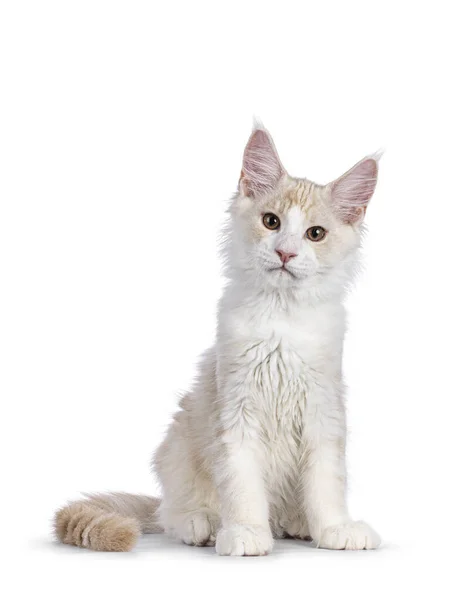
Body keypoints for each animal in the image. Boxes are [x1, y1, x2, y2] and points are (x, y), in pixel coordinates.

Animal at [54, 124, 382, 556]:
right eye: (271, 222)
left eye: (316, 234)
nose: (285, 253)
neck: (280, 319)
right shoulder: (236, 410)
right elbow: (242, 485)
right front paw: (245, 533)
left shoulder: (323, 410)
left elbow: (327, 482)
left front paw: (334, 528)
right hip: (178, 442)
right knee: (172, 514)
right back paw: (204, 524)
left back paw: (298, 525)